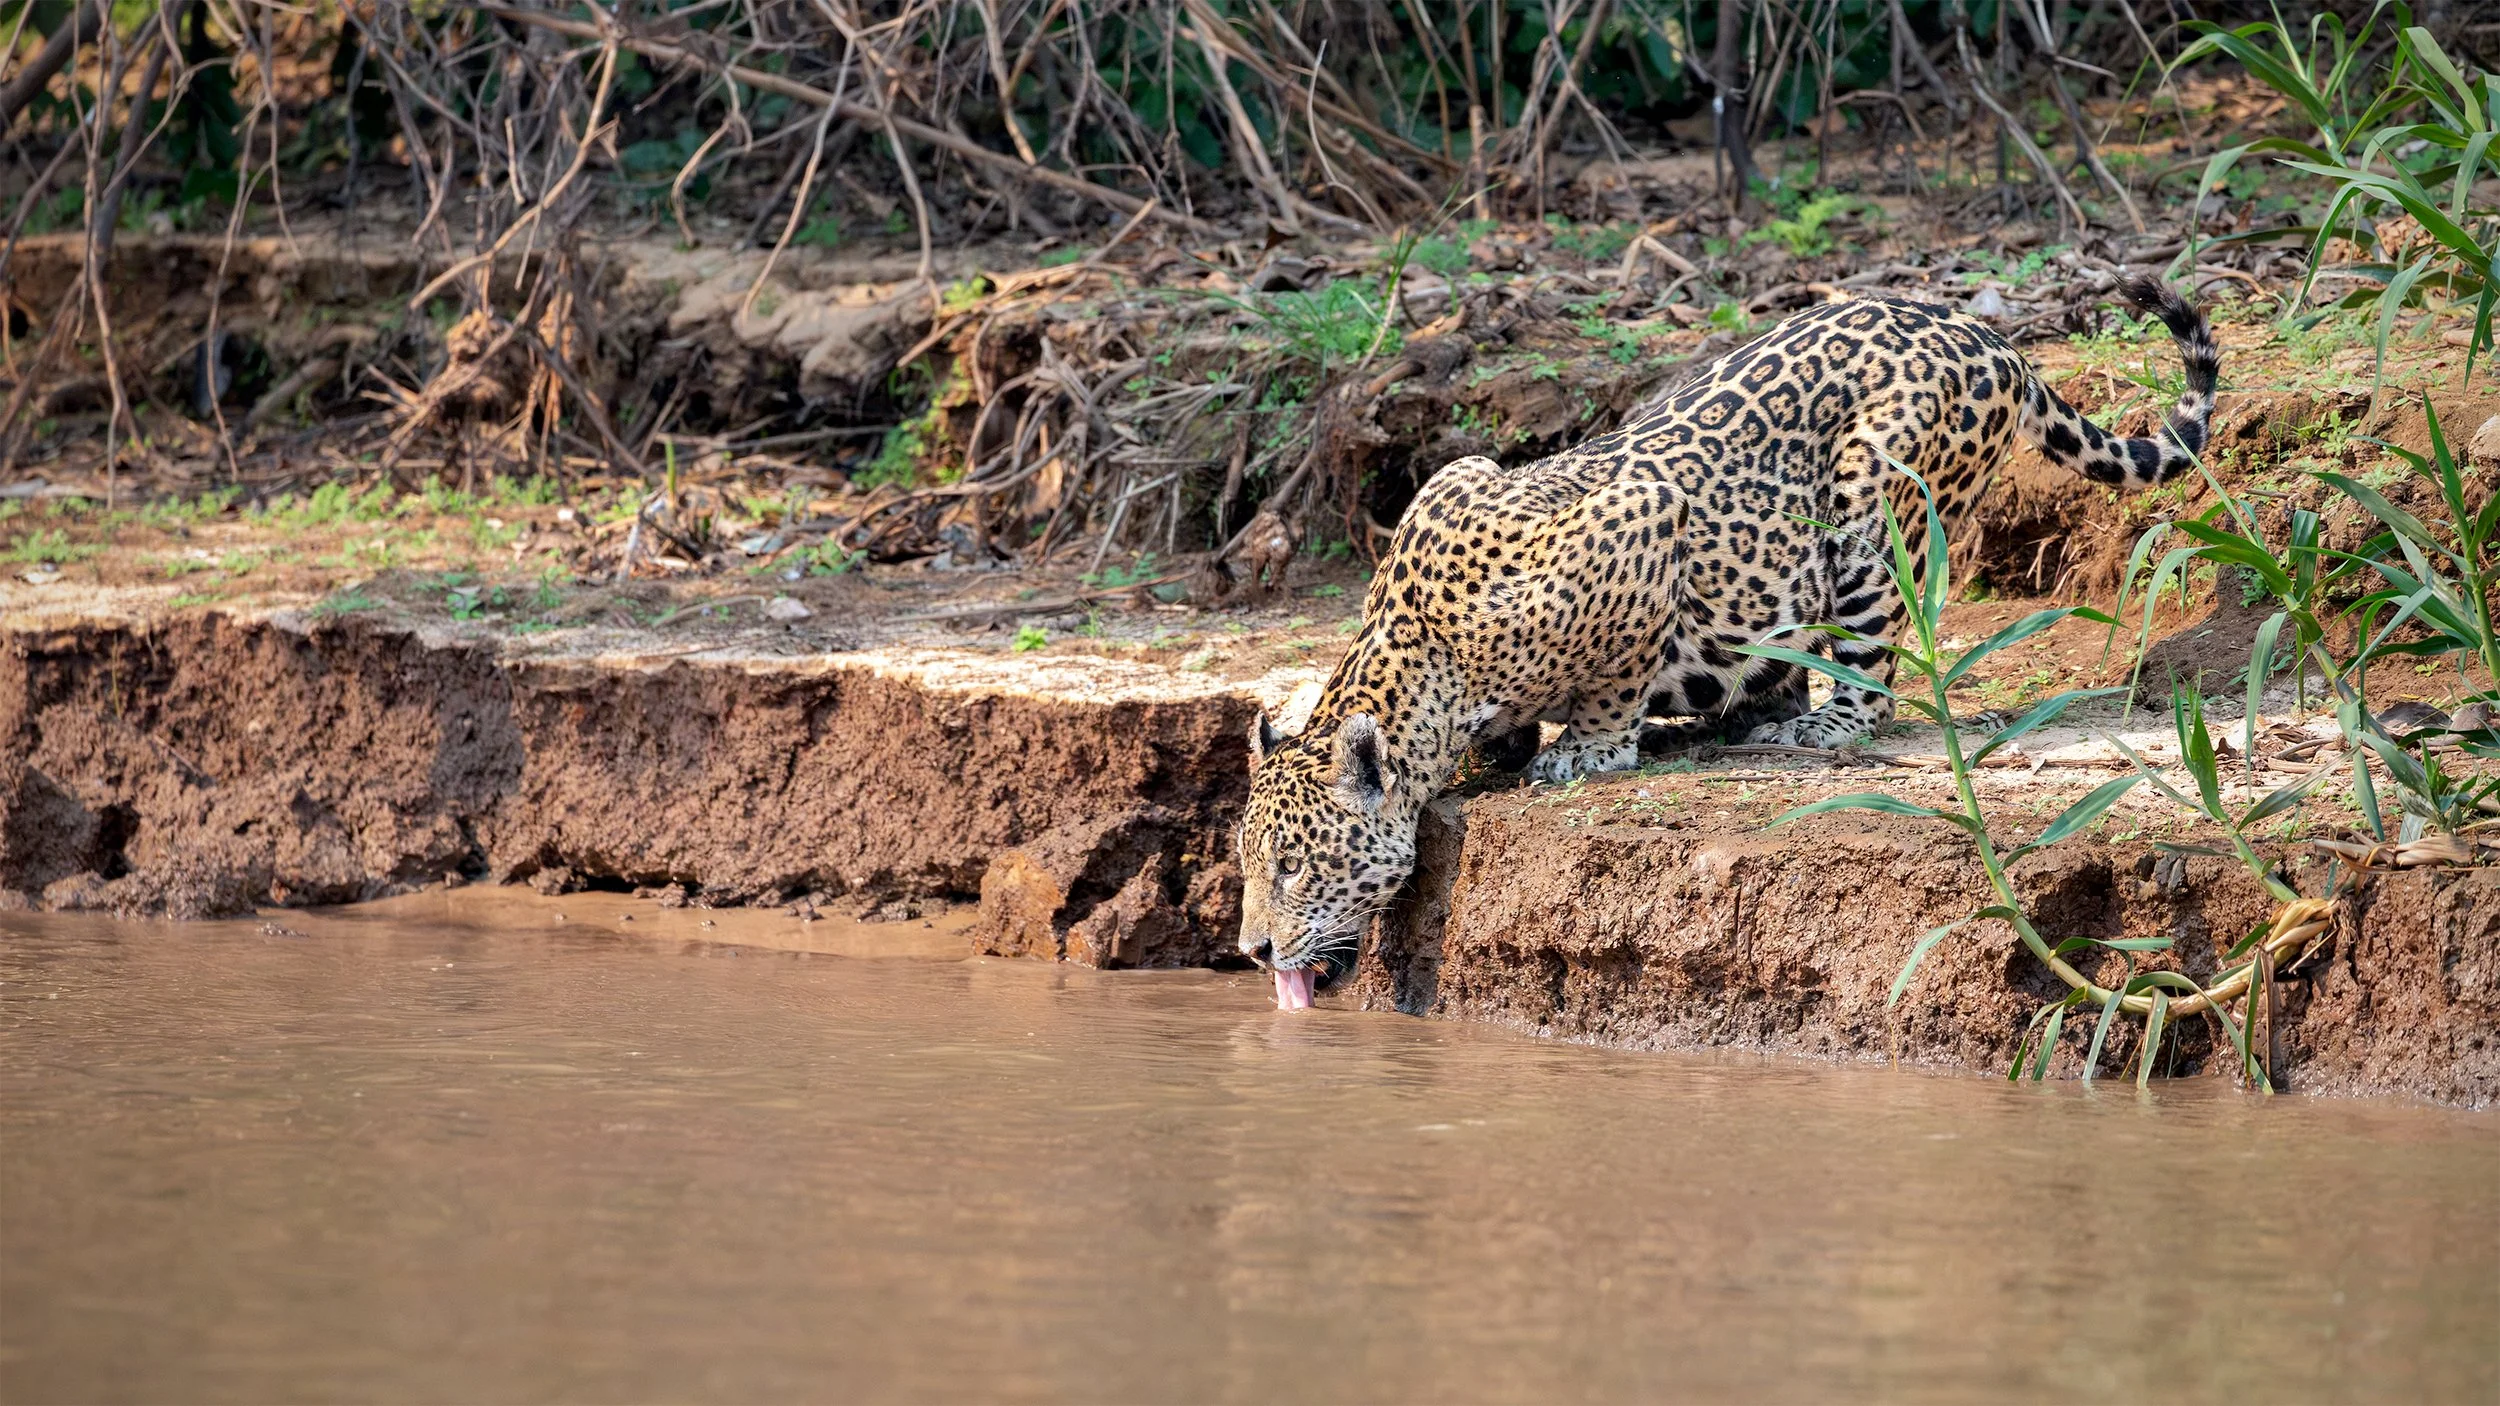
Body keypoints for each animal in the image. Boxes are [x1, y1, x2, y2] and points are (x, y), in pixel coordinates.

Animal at [1235, 275, 2219, 985]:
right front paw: (1508, 746)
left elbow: (1615, 674)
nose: (1251, 951)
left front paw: (1585, 750)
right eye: (1246, 861)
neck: (1423, 657)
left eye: (1290, 866)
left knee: (1873, 665)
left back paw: (1812, 724)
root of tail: (1985, 334)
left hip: (1875, 511)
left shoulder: (1641, 523)